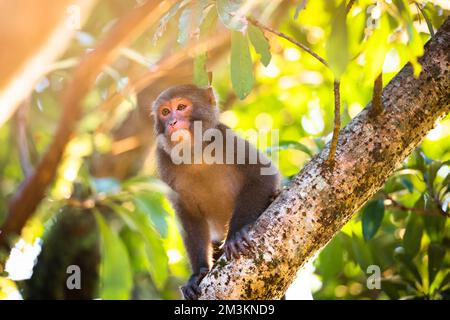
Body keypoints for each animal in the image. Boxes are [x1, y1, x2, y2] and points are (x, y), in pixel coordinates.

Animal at [153, 85, 280, 300]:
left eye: (181, 107)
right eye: (165, 112)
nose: (172, 122)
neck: (194, 155)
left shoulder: (225, 137)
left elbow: (262, 175)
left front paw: (236, 234)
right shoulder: (162, 159)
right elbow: (188, 214)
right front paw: (197, 274)